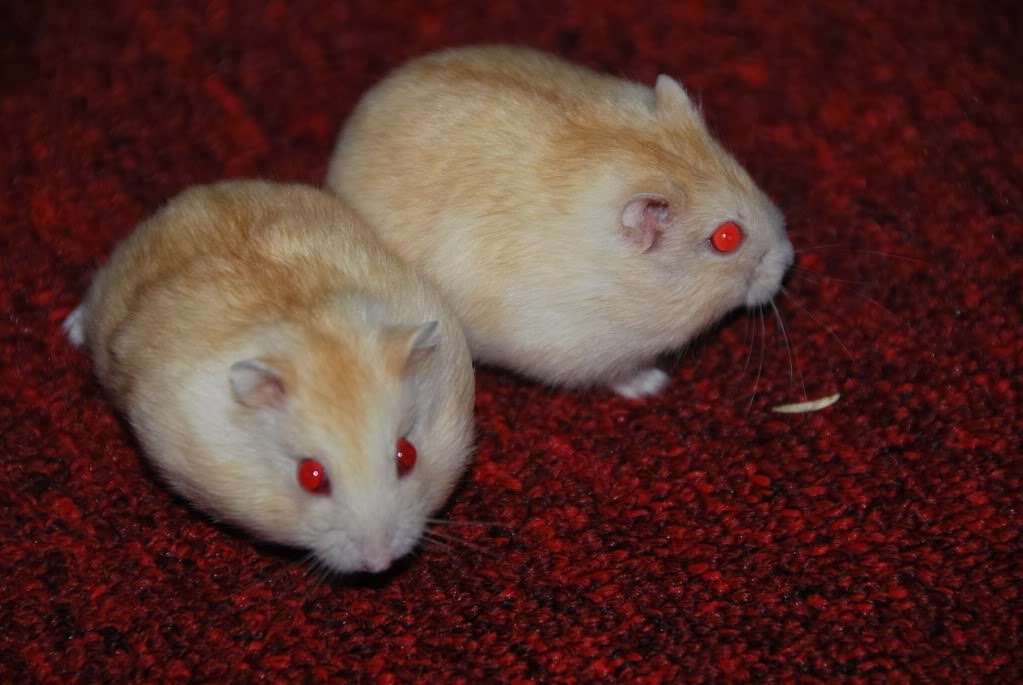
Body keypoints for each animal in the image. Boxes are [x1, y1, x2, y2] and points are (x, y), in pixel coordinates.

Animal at [64, 180, 475, 574]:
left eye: (407, 455)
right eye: (311, 476)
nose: (380, 563)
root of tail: (189, 198)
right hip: (108, 290)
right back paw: (69, 331)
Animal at [325, 45, 793, 398]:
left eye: (744, 174)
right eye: (727, 238)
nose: (789, 262)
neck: (624, 279)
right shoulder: (590, 351)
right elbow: (622, 373)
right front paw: (653, 384)